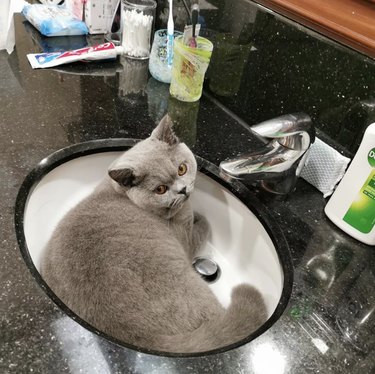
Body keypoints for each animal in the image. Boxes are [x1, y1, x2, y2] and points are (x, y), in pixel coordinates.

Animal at [41, 115, 268, 352]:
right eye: (160, 189)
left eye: (181, 169)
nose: (182, 190)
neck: (119, 195)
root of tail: (140, 337)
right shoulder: (185, 238)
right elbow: (203, 226)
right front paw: (199, 216)